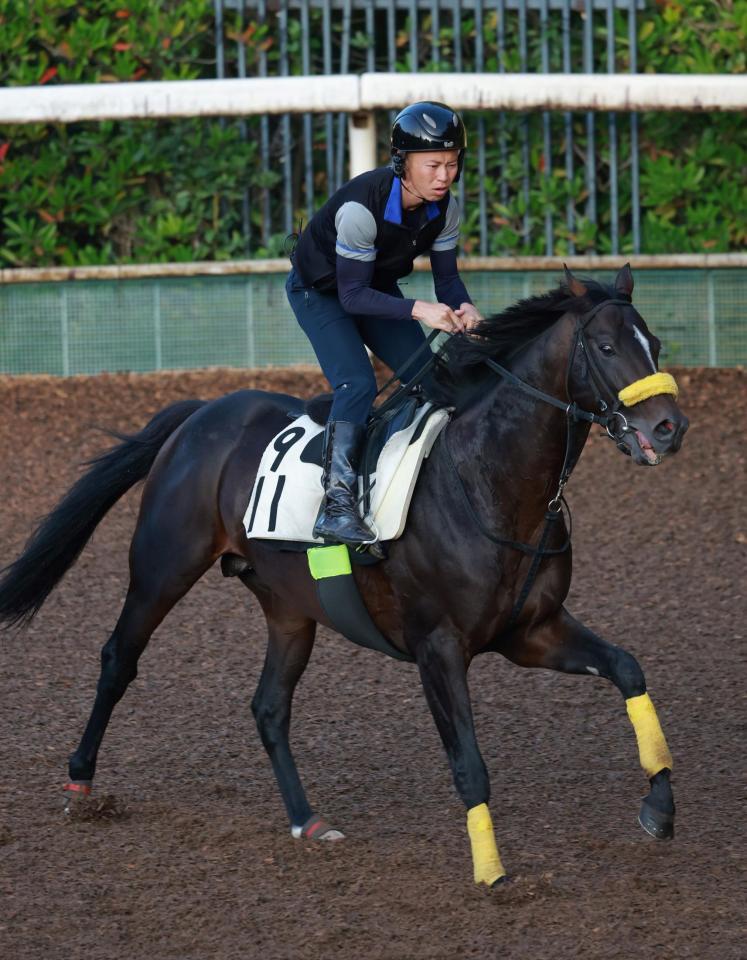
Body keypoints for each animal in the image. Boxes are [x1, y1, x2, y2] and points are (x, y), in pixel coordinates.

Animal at [0, 262, 688, 884]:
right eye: (607, 347)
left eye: (654, 342)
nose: (669, 427)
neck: (488, 482)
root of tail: (202, 413)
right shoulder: (438, 647)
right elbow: (469, 764)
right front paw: (492, 872)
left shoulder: (531, 631)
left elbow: (627, 668)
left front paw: (659, 808)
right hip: (163, 566)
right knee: (119, 657)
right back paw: (81, 782)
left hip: (288, 607)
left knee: (269, 706)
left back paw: (307, 820)